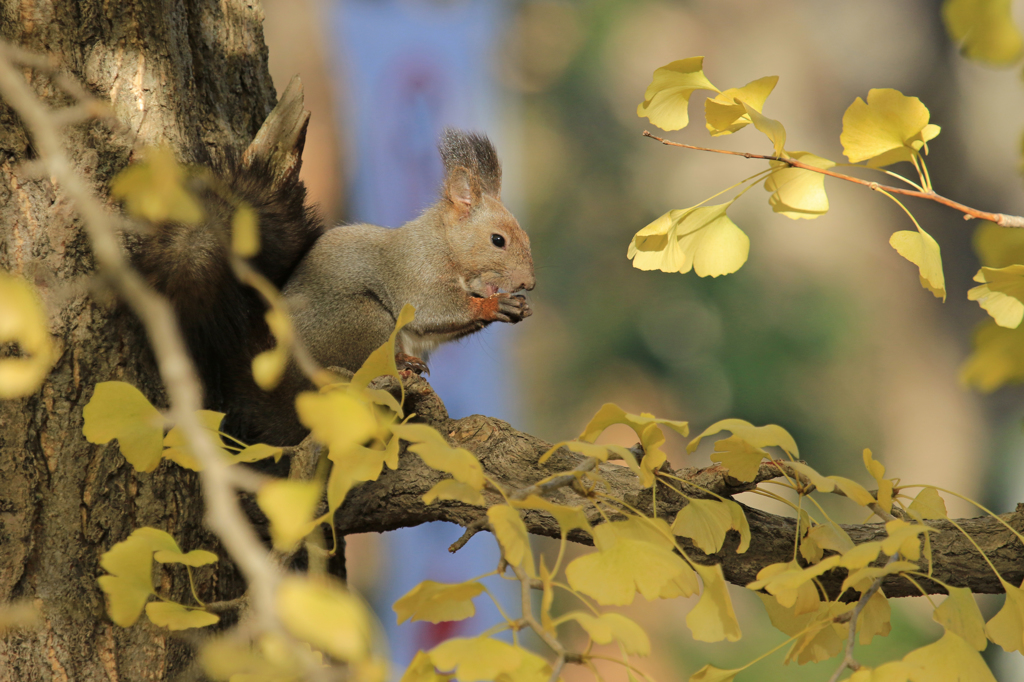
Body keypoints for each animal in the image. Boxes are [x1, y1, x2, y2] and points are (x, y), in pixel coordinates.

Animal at [138, 91, 536, 446]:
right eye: (498, 240)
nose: (529, 283)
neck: (446, 244)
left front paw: (516, 307)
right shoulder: (416, 271)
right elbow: (433, 311)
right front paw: (494, 304)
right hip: (362, 321)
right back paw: (402, 364)